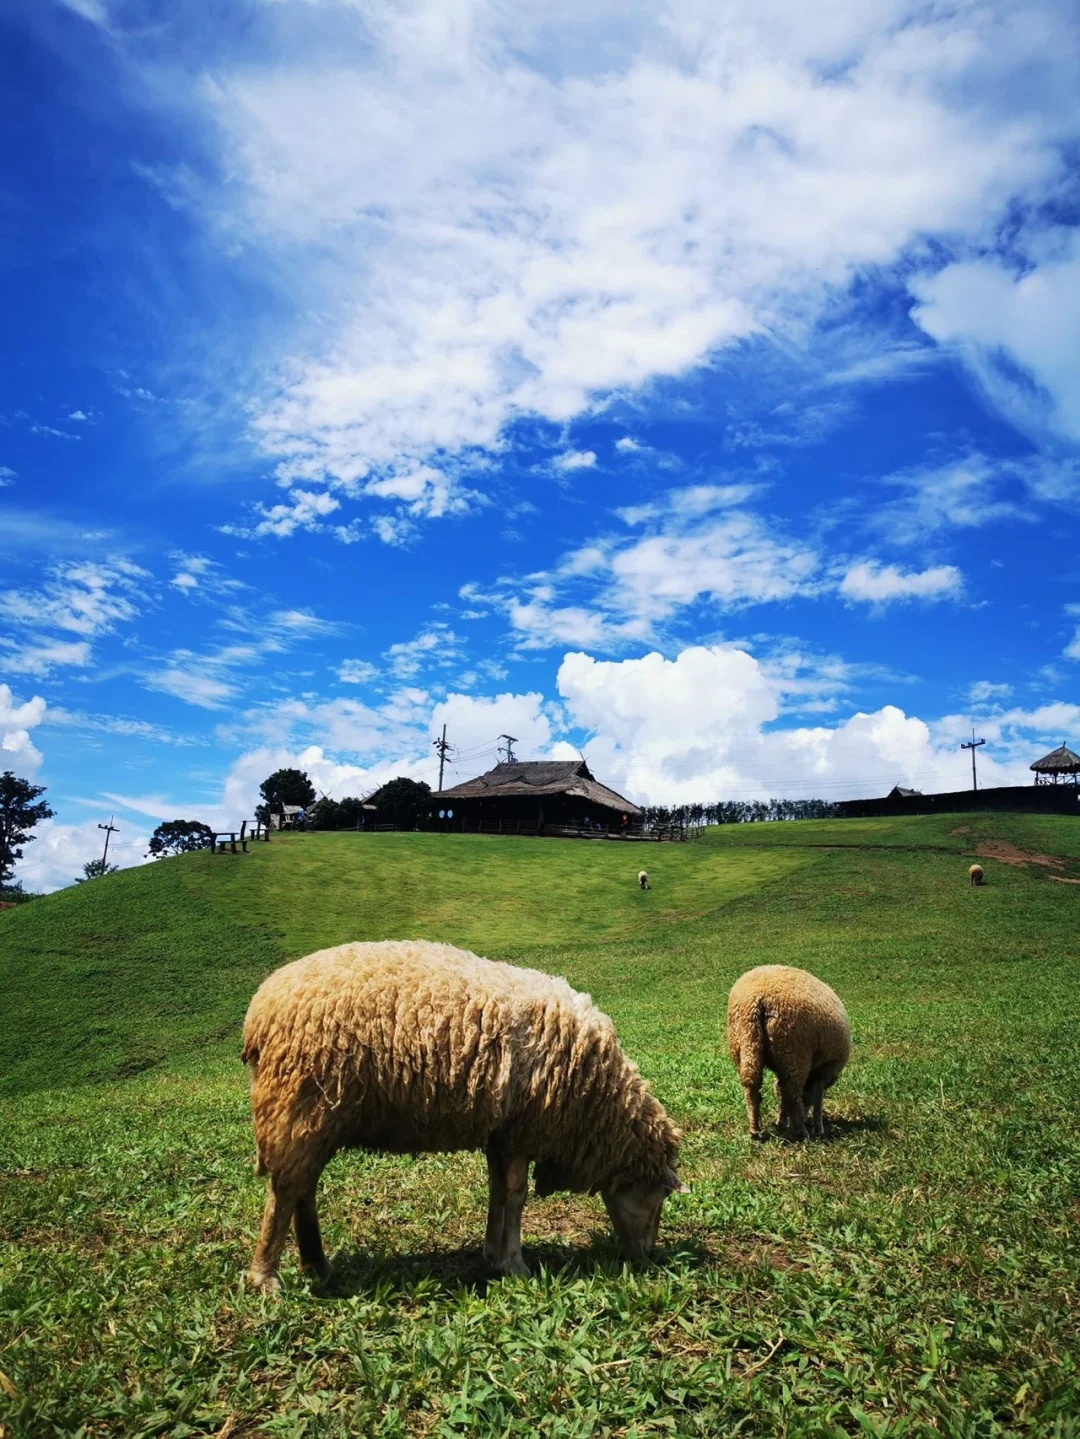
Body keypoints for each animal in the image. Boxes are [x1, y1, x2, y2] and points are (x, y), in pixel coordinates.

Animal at [244, 938, 684, 1289]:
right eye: (658, 1197)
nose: (648, 1256)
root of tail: (260, 1010)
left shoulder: (500, 1131)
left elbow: (498, 1192)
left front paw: (493, 1253)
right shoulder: (522, 1129)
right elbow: (516, 1196)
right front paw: (515, 1264)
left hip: (316, 1116)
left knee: (303, 1188)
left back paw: (316, 1265)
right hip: (299, 1104)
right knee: (286, 1191)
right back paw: (265, 1277)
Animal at [727, 967, 851, 1145]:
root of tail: (758, 998)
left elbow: (779, 1091)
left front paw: (781, 1121)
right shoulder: (825, 1068)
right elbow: (818, 1097)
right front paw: (818, 1128)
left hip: (745, 1043)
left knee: (752, 1086)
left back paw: (755, 1130)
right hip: (795, 1051)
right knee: (791, 1092)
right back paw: (801, 1132)